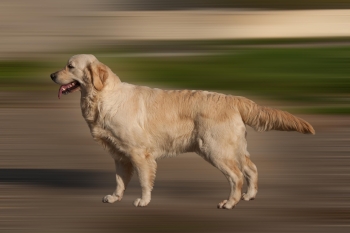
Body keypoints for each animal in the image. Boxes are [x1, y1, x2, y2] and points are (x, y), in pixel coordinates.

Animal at [50, 54, 316, 209]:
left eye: (70, 66)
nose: (51, 75)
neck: (104, 97)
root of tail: (232, 98)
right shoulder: (120, 156)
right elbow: (119, 181)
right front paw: (115, 197)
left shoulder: (139, 154)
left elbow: (144, 180)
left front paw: (143, 201)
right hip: (234, 147)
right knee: (251, 168)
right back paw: (249, 196)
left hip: (215, 150)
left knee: (237, 176)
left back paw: (230, 203)